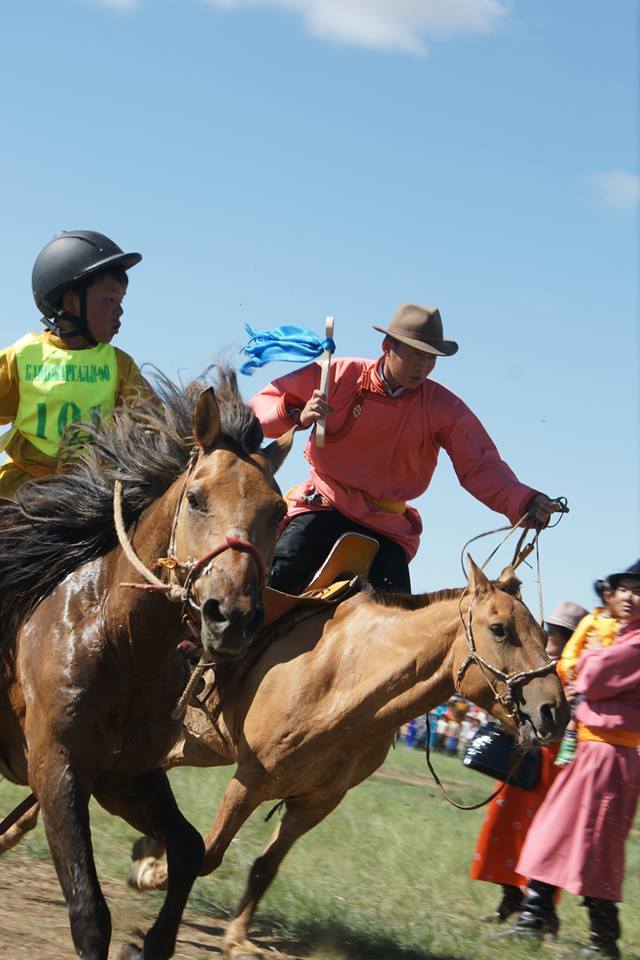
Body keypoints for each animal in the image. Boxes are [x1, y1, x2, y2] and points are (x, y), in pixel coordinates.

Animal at [0, 374, 290, 960]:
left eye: (279, 511)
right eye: (197, 498)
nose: (232, 617)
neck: (117, 640)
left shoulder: (127, 777)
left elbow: (188, 847)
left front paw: (150, 942)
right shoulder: (57, 768)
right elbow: (89, 913)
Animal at [127, 560, 568, 956]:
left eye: (541, 633)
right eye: (499, 630)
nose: (555, 712)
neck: (341, 682)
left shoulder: (316, 802)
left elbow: (264, 867)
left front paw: (236, 938)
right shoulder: (249, 781)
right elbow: (209, 852)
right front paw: (150, 872)